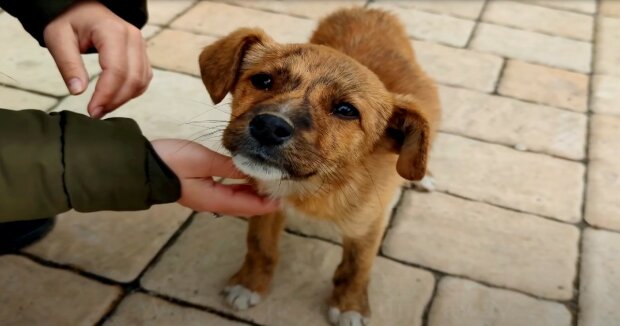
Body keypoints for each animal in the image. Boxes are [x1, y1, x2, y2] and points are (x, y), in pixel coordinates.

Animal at [199, 7, 440, 326]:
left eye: (346, 110)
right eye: (262, 80)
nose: (269, 127)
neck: (316, 184)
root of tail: (370, 10)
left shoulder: (370, 222)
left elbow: (357, 266)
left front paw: (350, 306)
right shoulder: (266, 202)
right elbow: (260, 245)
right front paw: (249, 284)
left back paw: (423, 177)